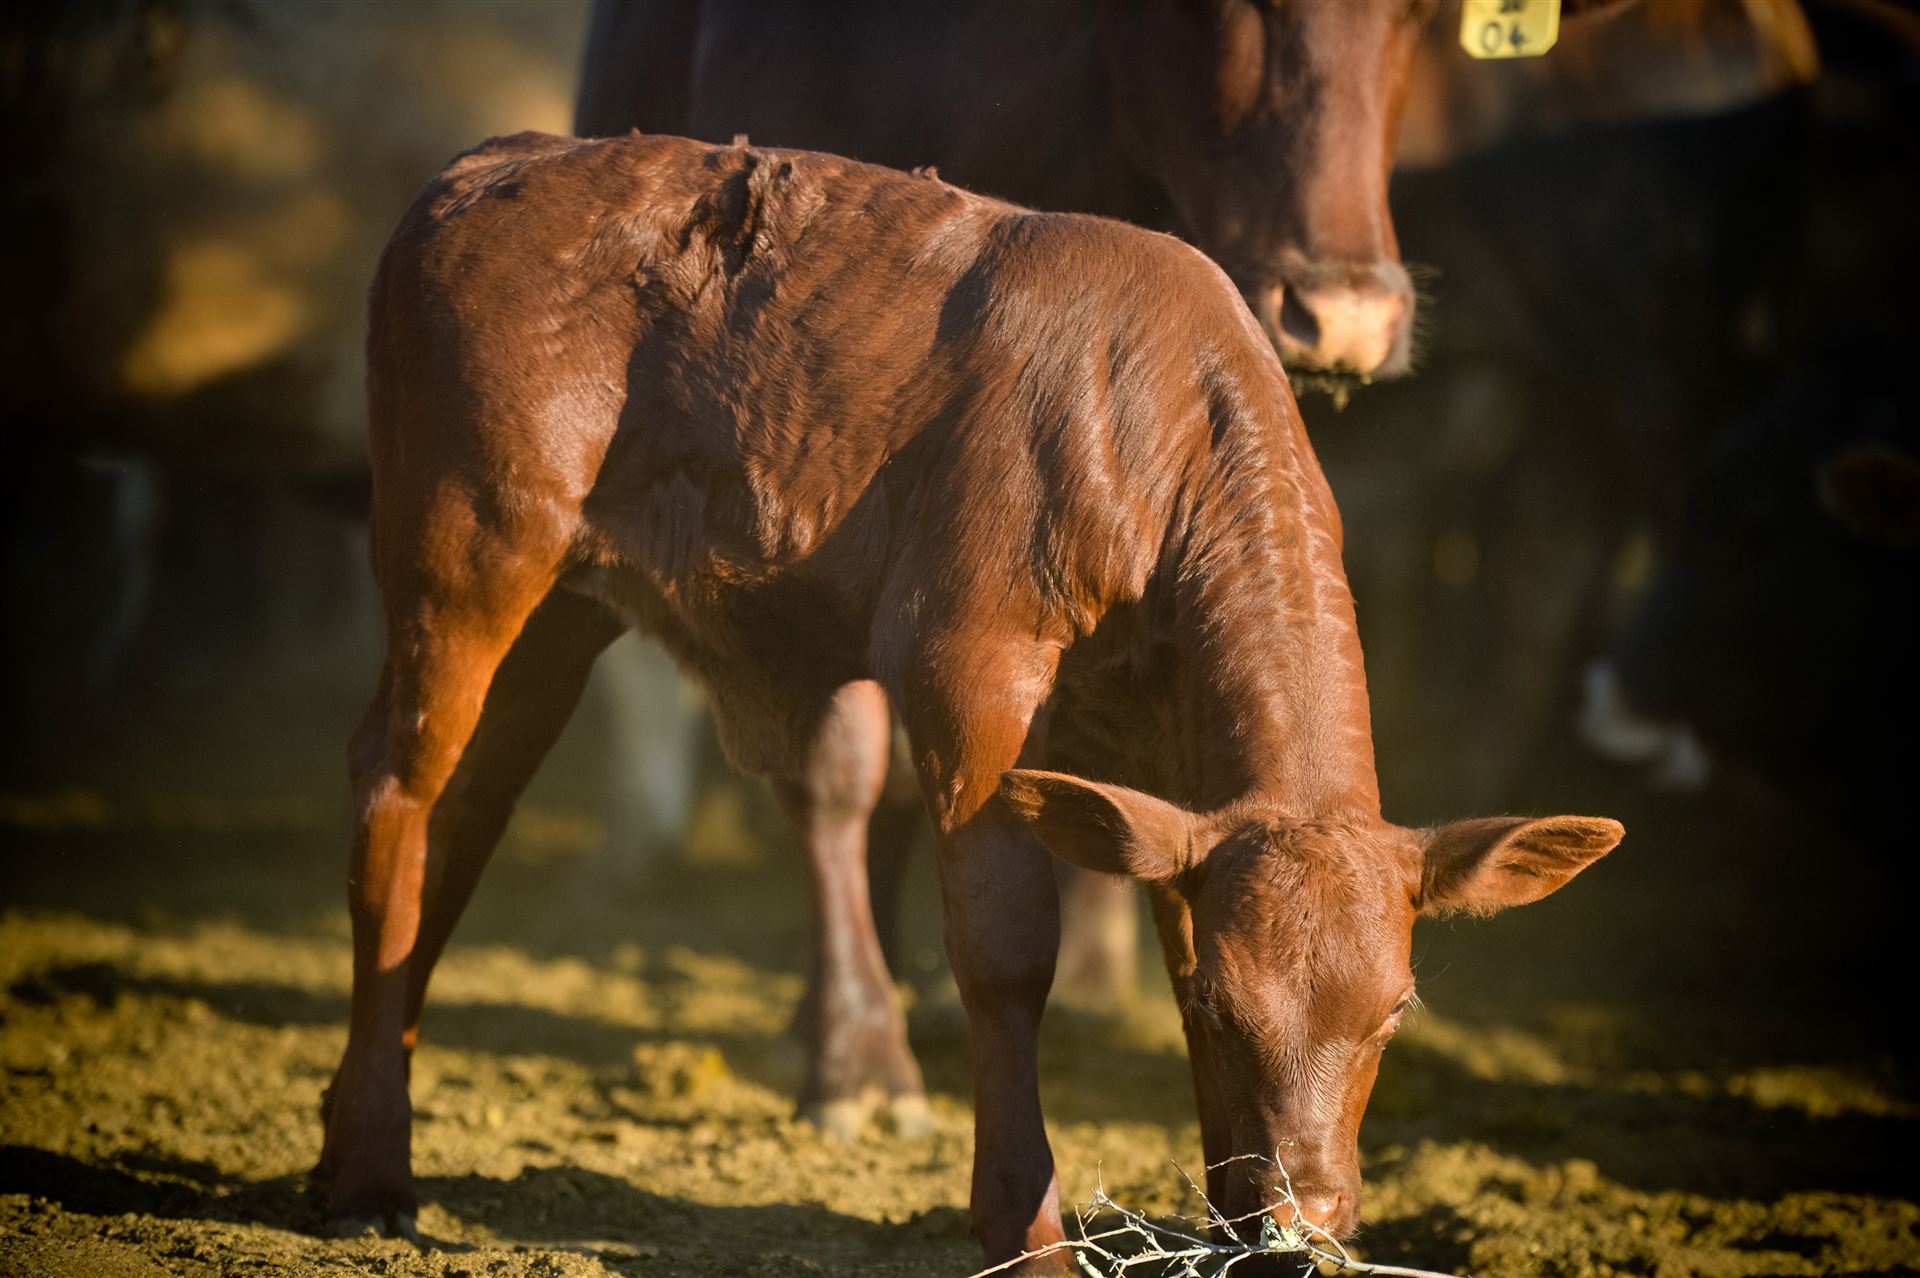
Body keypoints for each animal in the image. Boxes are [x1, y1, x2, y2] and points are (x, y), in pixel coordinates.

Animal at [316, 130, 1623, 1271]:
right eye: (1228, 1006)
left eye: (1396, 1011)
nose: (1309, 1211)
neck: (1151, 443)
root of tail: (497, 162)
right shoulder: (969, 679)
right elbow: (1004, 956)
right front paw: (1026, 1231)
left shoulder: (1177, 783)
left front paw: (1235, 1233)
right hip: (463, 549)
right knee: (396, 787)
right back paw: (368, 1166)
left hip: (561, 608)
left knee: (466, 815)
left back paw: (357, 1117)